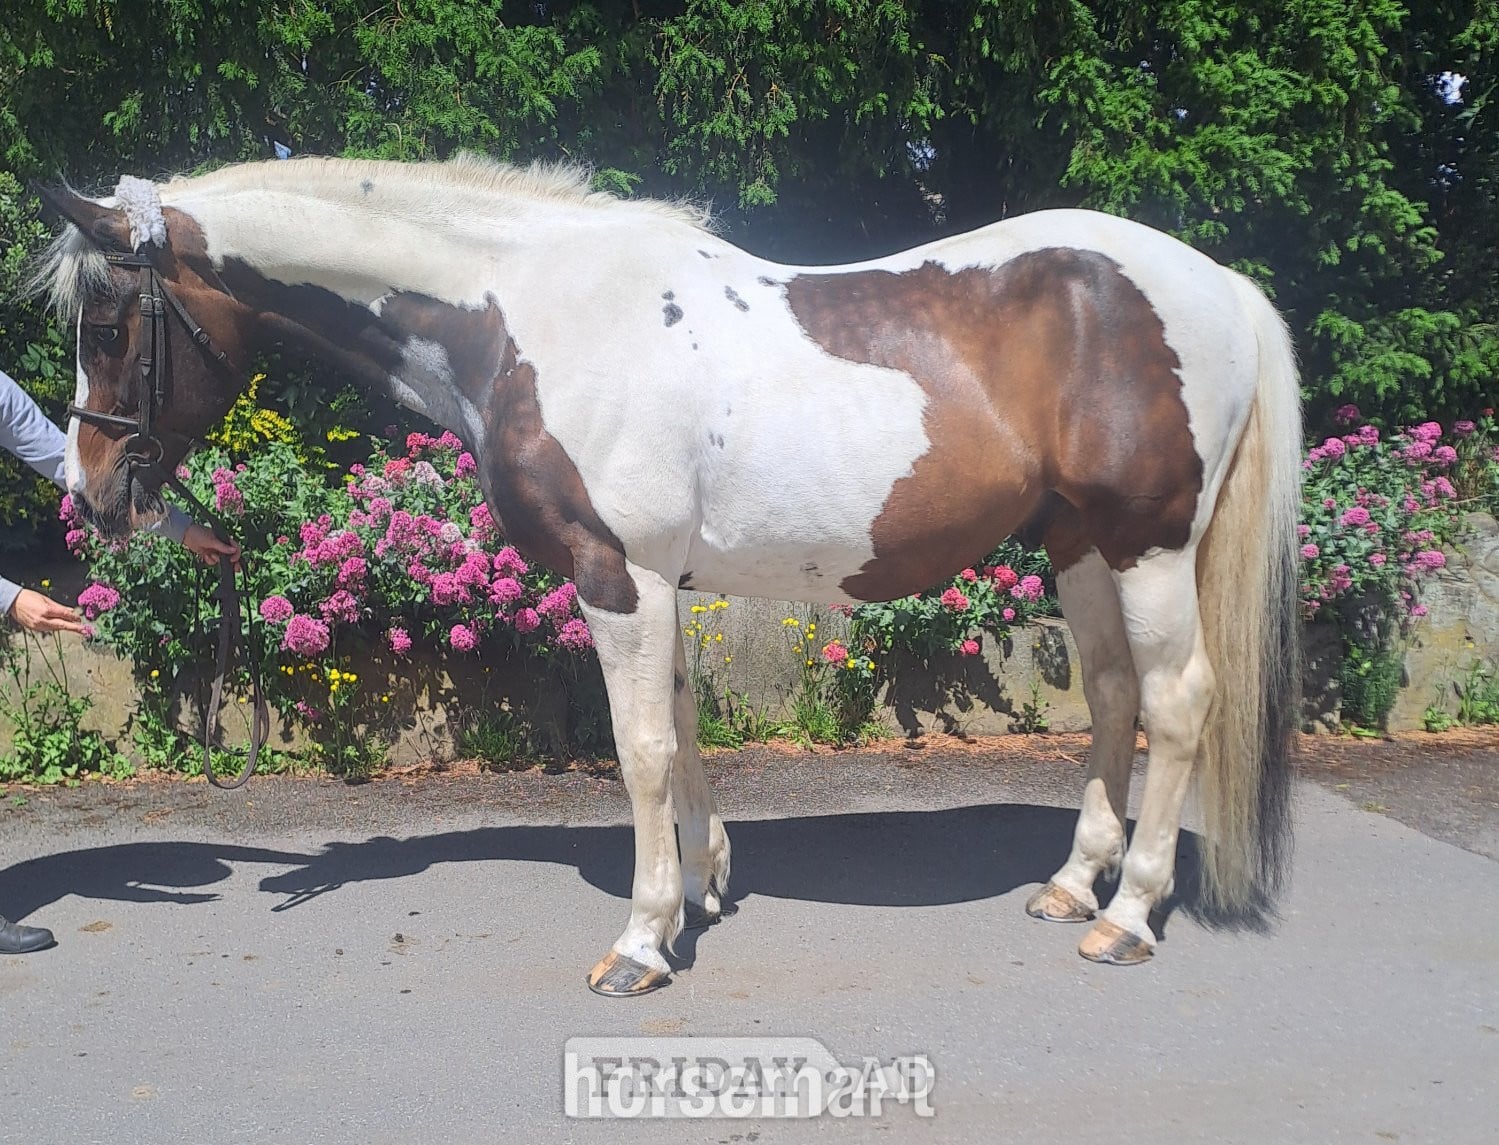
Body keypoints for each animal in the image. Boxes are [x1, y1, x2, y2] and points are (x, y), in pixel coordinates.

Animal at [33, 154, 1300, 996]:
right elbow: (683, 727)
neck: (524, 312)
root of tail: (1215, 283)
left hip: (1145, 544)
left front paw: (642, 940)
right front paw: (702, 885)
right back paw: (1071, 882)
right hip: (1077, 542)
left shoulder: (617, 574)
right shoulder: (663, 581)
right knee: (1111, 695)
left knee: (1176, 703)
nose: (88, 494)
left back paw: (1126, 915)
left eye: (108, 322)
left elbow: (637, 749)